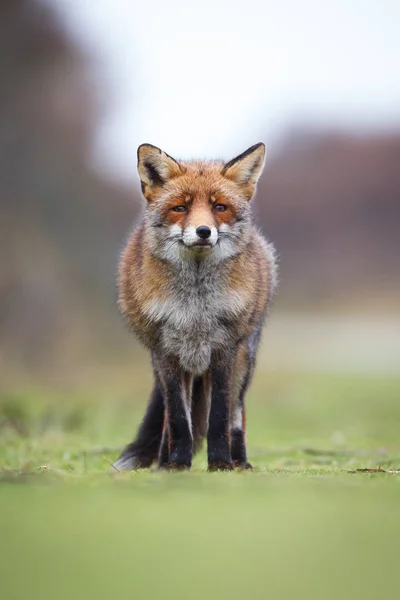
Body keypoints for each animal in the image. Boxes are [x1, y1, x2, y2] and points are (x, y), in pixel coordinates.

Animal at [112, 143, 276, 472]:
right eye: (180, 208)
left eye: (220, 207)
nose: (203, 231)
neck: (195, 307)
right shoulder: (167, 353)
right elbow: (178, 419)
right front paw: (177, 463)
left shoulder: (224, 349)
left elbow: (219, 417)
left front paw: (221, 462)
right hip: (167, 366)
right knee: (167, 419)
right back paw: (164, 461)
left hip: (244, 362)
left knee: (237, 414)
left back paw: (240, 461)